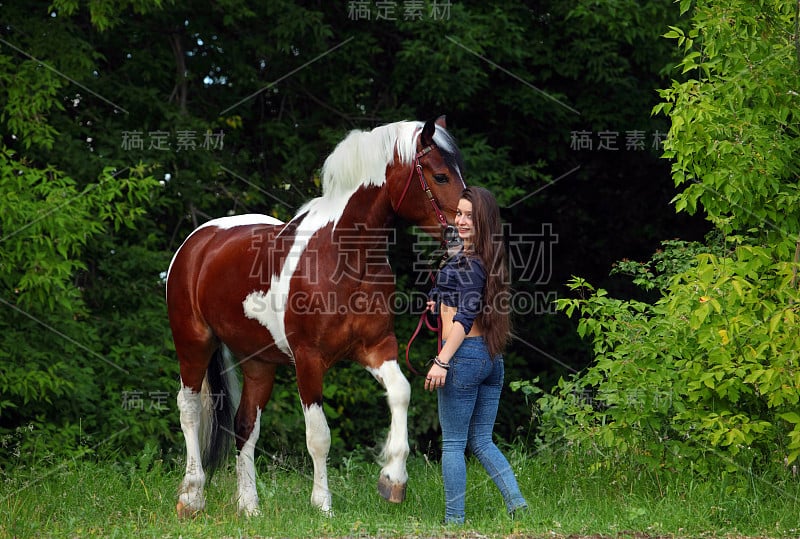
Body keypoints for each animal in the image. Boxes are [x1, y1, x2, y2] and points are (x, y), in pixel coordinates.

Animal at [166, 117, 466, 520]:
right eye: (440, 175)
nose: (462, 235)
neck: (344, 257)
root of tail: (197, 243)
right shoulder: (309, 360)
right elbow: (319, 436)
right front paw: (322, 503)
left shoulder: (376, 347)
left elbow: (401, 393)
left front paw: (393, 480)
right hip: (193, 343)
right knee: (190, 411)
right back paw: (192, 496)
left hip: (259, 362)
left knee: (245, 425)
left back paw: (250, 507)